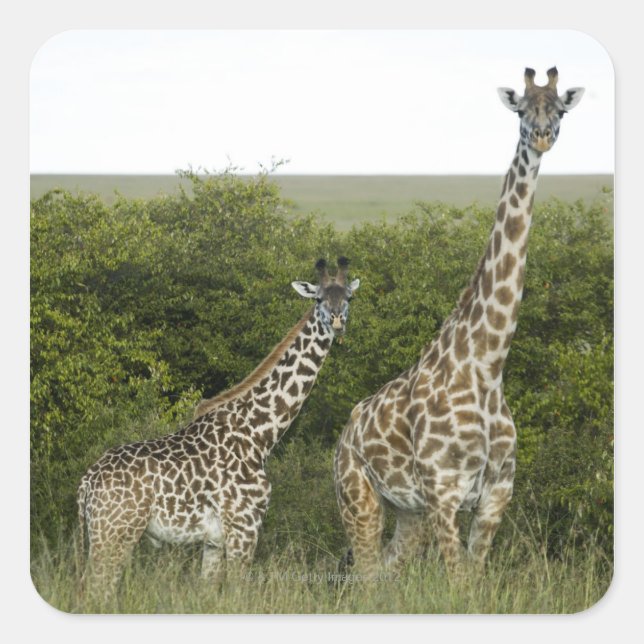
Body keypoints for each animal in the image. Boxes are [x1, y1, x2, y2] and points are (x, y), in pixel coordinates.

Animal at [77, 258, 360, 600]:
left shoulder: (214, 540)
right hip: (116, 533)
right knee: (95, 590)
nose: (337, 321)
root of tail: (87, 484)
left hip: (104, 534)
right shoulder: (244, 525)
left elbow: (208, 593)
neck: (260, 433)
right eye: (318, 299)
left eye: (349, 297)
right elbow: (238, 592)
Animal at [333, 67, 584, 576]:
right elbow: (458, 582)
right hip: (358, 498)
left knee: (384, 572)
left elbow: (474, 580)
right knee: (365, 575)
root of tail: (345, 435)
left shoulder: (495, 496)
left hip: (408, 513)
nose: (542, 137)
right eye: (522, 109)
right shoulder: (444, 493)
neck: (487, 366)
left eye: (561, 110)